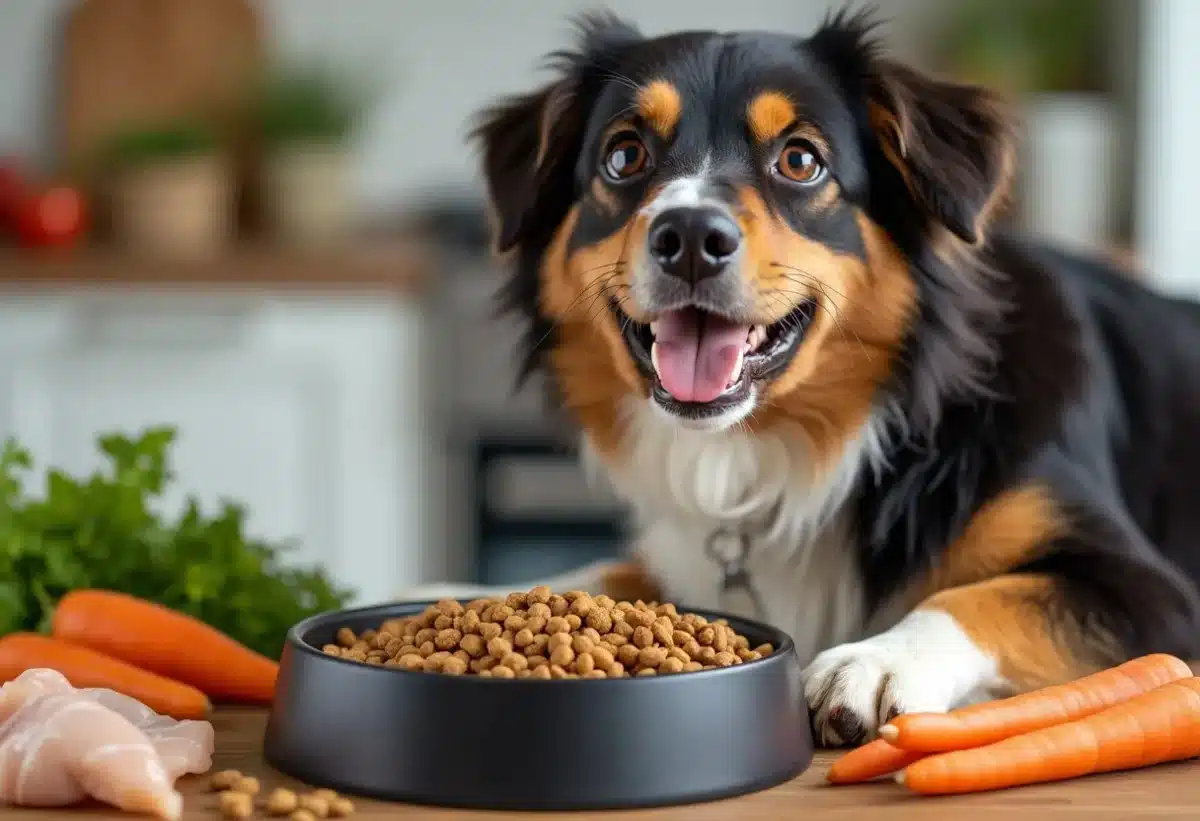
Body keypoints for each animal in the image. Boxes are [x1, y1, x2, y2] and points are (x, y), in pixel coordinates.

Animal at [400, 8, 1200, 748]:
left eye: (799, 160)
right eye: (624, 155)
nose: (690, 237)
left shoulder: (1156, 591)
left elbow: (982, 595)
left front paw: (875, 661)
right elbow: (607, 572)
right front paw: (457, 596)